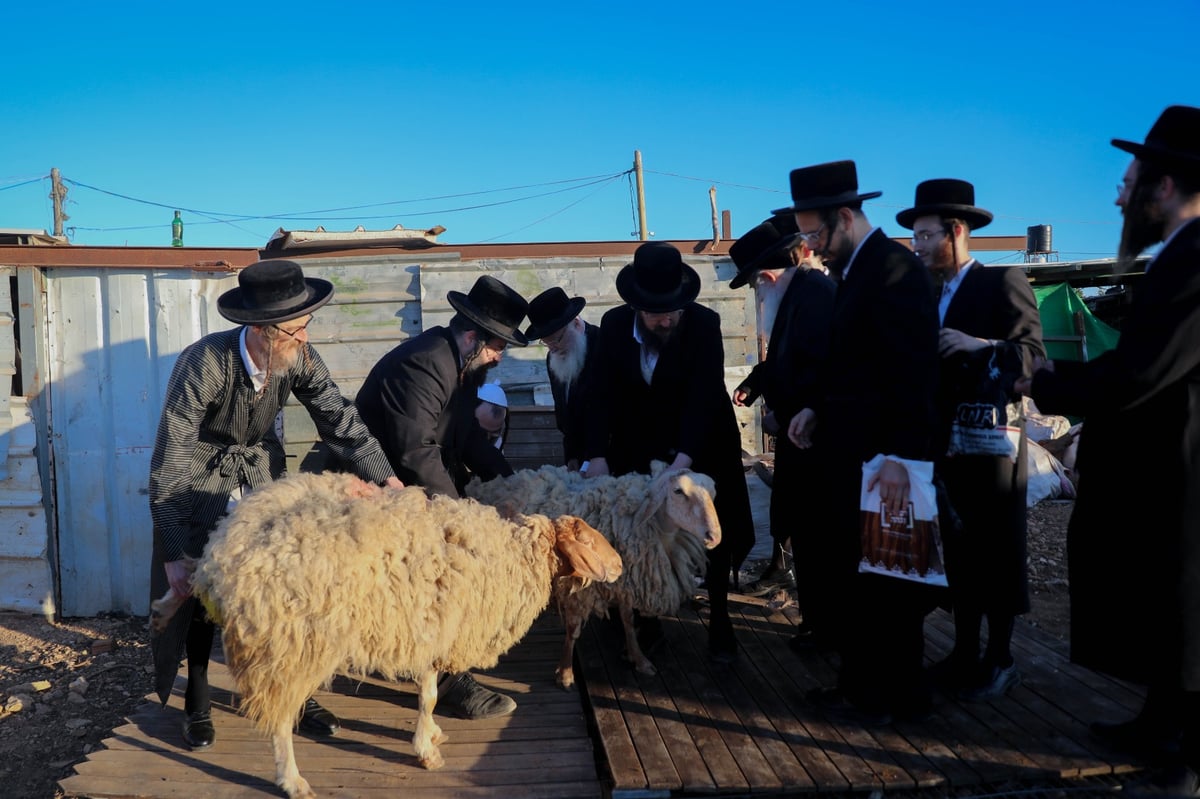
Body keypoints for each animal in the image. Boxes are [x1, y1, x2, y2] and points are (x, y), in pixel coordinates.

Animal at [159, 470, 619, 791]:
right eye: (586, 538)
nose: (618, 566)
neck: (507, 554)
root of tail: (222, 555)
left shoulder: (430, 631)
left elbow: (428, 695)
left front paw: (431, 735)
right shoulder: (436, 627)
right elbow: (428, 697)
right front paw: (425, 751)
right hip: (291, 644)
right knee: (279, 719)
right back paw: (292, 780)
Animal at [463, 463, 715, 686]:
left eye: (713, 492)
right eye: (679, 491)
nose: (714, 536)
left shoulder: (624, 585)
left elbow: (628, 621)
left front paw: (639, 658)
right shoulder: (578, 590)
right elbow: (574, 630)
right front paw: (565, 673)